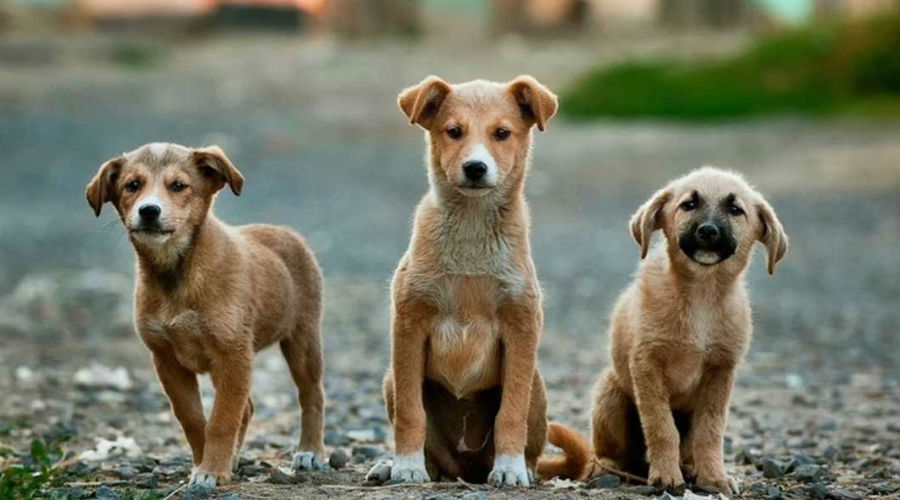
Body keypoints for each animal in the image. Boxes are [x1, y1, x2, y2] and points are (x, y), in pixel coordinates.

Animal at [85, 143, 326, 486]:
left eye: (179, 186)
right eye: (132, 185)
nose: (149, 211)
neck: (177, 273)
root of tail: (285, 232)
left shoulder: (233, 355)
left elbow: (222, 419)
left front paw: (211, 470)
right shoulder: (167, 360)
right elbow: (194, 419)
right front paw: (205, 464)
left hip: (302, 339)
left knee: (311, 395)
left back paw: (310, 451)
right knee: (248, 407)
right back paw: (235, 458)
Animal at [366, 76, 556, 486]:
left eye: (502, 133)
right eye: (454, 131)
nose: (475, 167)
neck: (471, 229)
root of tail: (465, 467)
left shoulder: (521, 325)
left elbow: (510, 412)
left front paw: (510, 468)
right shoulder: (409, 323)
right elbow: (411, 412)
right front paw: (405, 465)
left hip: (537, 385)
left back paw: (520, 467)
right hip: (390, 379)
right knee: (431, 450)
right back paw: (395, 465)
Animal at [556, 167, 788, 492]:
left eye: (735, 210)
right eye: (688, 204)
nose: (708, 231)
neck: (701, 295)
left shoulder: (721, 371)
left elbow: (710, 431)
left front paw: (713, 477)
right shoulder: (646, 365)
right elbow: (661, 427)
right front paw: (666, 476)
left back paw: (689, 468)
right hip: (609, 393)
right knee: (608, 452)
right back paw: (609, 469)